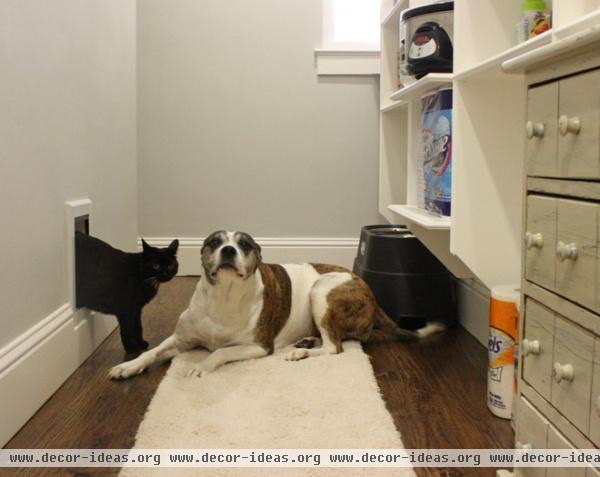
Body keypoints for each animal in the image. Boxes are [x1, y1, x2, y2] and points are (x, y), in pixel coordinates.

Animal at [108, 229, 440, 378]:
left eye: (245, 244)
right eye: (215, 242)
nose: (228, 250)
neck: (224, 296)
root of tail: (369, 290)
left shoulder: (258, 346)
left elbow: (220, 353)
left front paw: (200, 366)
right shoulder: (180, 339)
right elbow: (152, 351)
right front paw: (128, 365)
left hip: (321, 291)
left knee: (334, 347)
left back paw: (299, 353)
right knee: (330, 339)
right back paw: (305, 341)